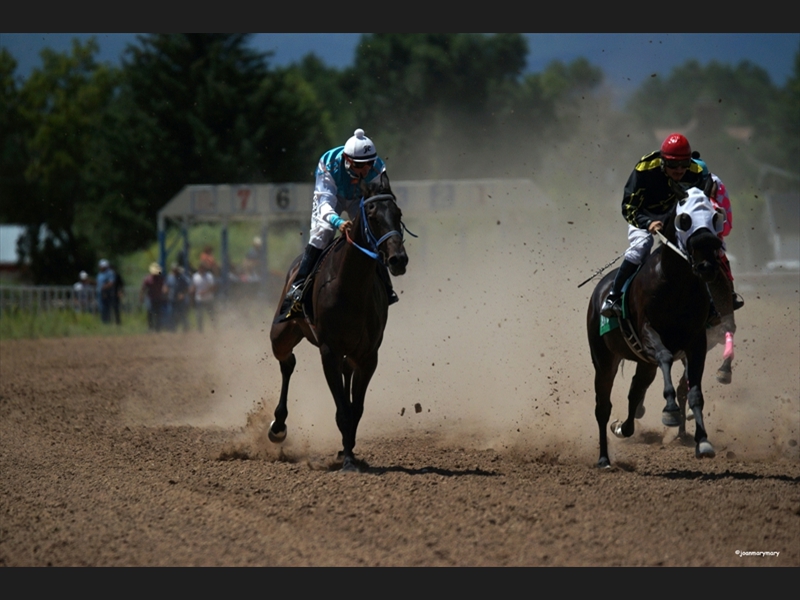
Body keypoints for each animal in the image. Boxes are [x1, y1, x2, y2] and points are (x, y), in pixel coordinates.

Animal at [268, 173, 410, 474]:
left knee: (343, 372)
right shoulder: (329, 351)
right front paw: (347, 461)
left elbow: (355, 409)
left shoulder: (369, 355)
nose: (398, 259)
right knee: (287, 362)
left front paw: (349, 451)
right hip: (281, 333)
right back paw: (278, 426)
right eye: (372, 215)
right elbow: (343, 410)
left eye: (398, 213)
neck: (351, 285)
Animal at [588, 185, 724, 466]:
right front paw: (670, 410)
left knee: (634, 393)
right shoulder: (647, 332)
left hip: (643, 363)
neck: (676, 285)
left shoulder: (697, 341)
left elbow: (694, 392)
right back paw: (604, 458)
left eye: (715, 215)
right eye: (685, 218)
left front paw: (703, 442)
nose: (707, 265)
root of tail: (600, 288)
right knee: (602, 406)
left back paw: (623, 427)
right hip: (603, 358)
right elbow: (665, 356)